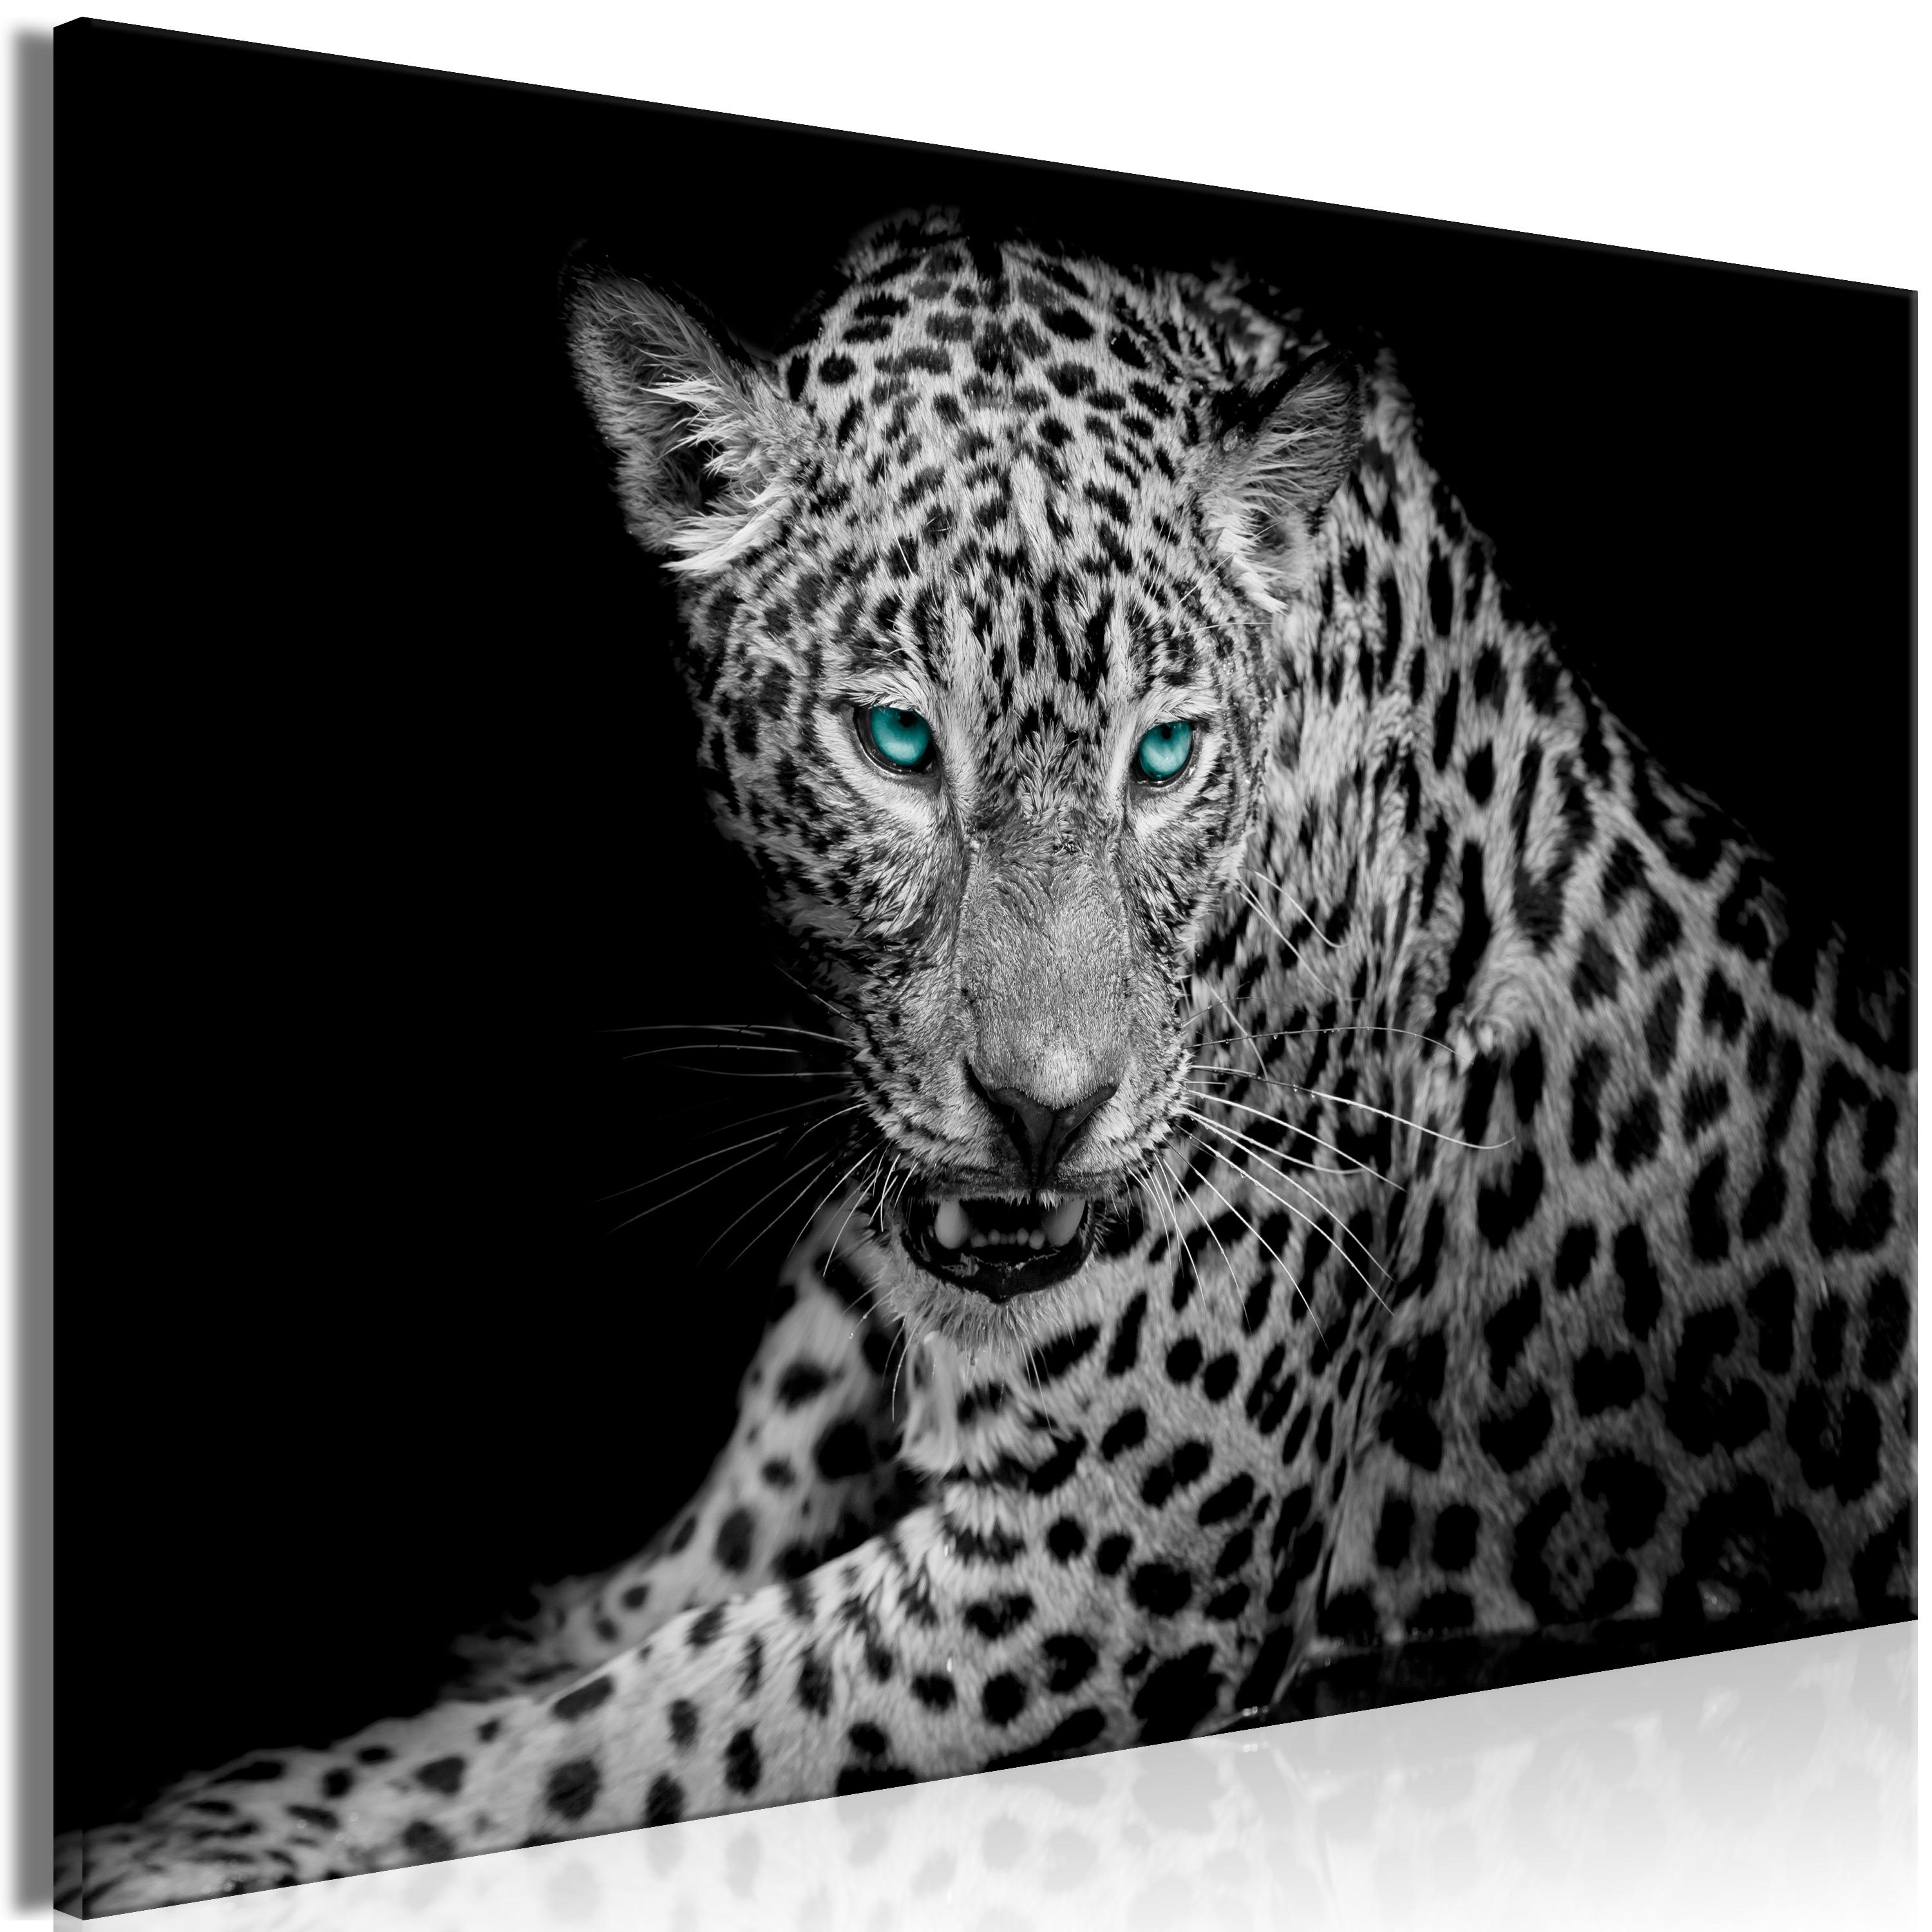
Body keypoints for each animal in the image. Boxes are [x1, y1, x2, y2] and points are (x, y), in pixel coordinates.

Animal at [60, 208, 1915, 1916]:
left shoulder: (1106, 1563)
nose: (1044, 1113)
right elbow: (664, 1590)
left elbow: (617, 1733)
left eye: (1164, 758)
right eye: (896, 742)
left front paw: (211, 1829)